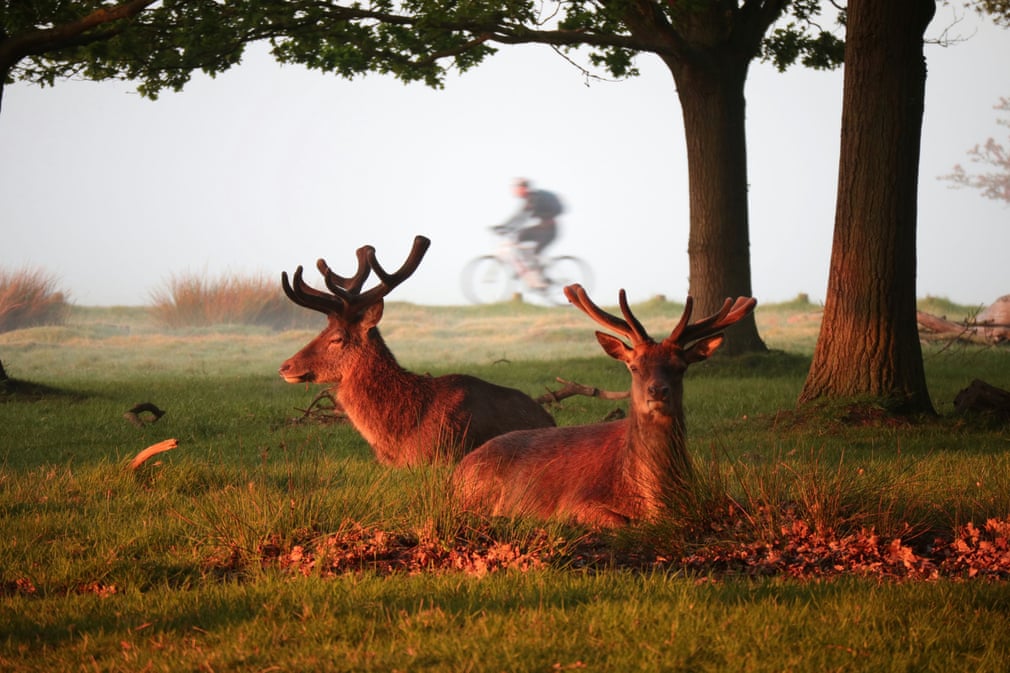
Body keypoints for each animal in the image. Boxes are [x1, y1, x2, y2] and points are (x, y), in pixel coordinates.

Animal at [454, 282, 755, 525]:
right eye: (634, 367)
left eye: (681, 367)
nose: (657, 391)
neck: (653, 498)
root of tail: (458, 469)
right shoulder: (575, 501)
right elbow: (622, 522)